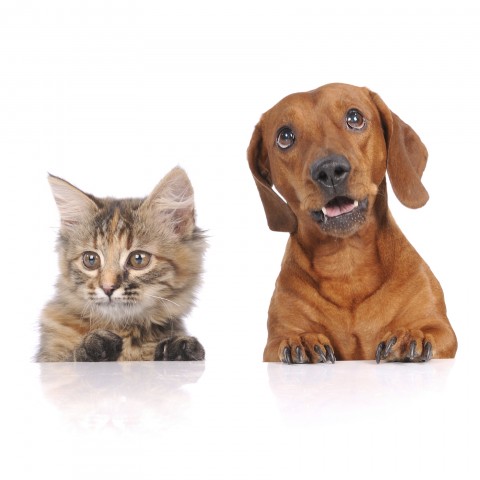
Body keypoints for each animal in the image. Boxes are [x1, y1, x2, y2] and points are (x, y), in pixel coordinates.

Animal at [34, 167, 205, 362]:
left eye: (138, 259)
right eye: (90, 259)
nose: (107, 288)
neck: (123, 330)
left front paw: (179, 349)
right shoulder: (50, 356)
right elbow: (71, 359)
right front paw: (95, 346)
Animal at [248, 82, 458, 364]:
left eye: (355, 118)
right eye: (285, 137)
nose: (329, 170)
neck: (347, 263)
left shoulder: (442, 329)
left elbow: (430, 330)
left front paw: (410, 335)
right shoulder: (273, 344)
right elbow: (287, 338)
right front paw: (302, 340)